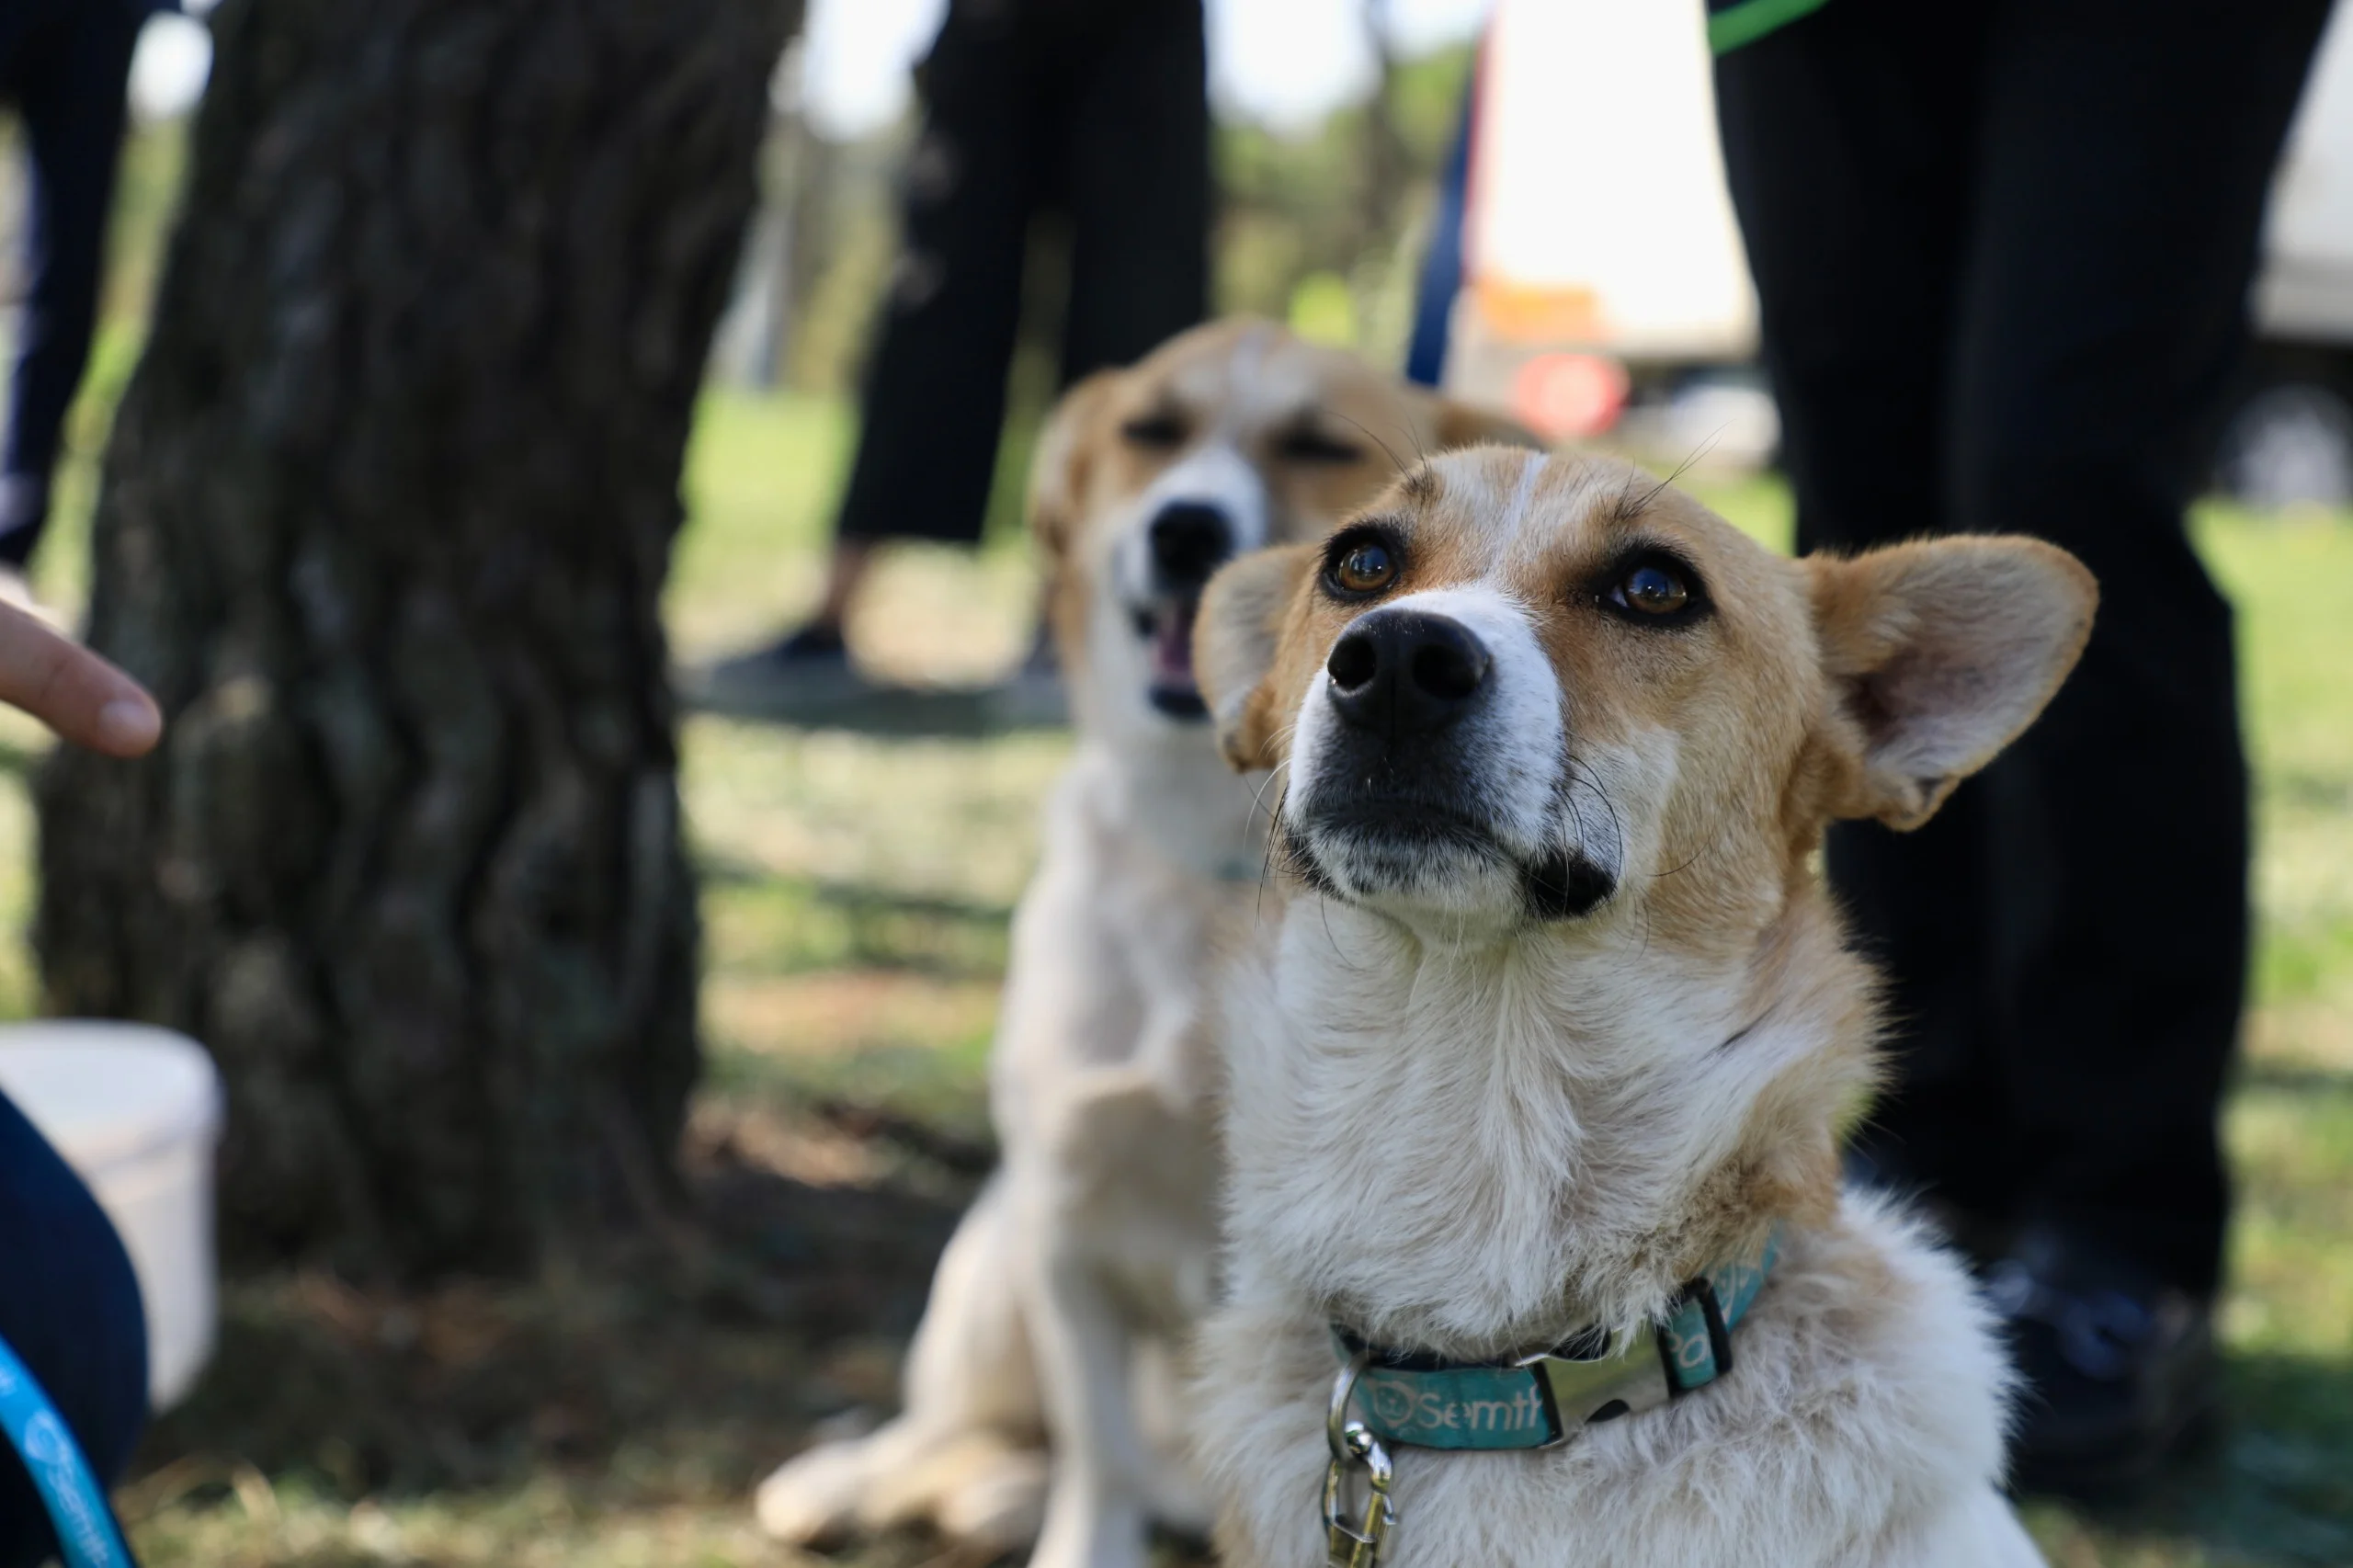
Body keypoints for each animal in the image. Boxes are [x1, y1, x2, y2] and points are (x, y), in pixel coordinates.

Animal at [748, 317, 1524, 1562]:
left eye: (1316, 444)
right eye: (1150, 430)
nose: (1185, 527)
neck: (1214, 867)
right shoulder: (1064, 1208)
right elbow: (1097, 1446)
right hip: (989, 1256)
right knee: (961, 1420)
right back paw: (859, 1478)